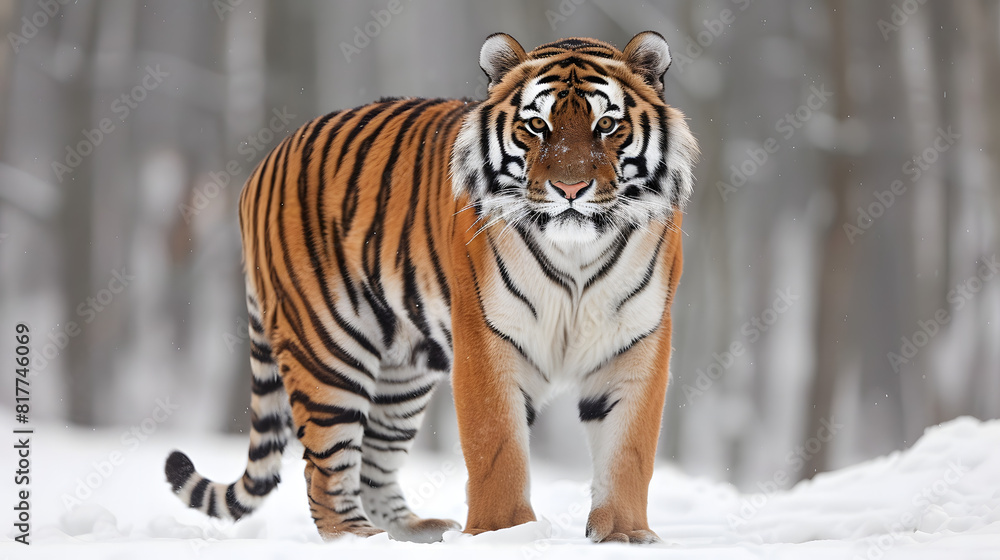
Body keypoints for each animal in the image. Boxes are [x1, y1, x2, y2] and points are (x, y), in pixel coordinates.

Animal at [164, 31, 697, 544]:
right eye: (536, 126)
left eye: (606, 125)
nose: (569, 189)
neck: (576, 254)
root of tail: (267, 160)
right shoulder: (486, 337)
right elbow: (496, 446)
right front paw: (505, 535)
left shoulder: (638, 340)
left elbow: (629, 449)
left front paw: (624, 535)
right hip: (328, 352)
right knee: (325, 470)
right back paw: (358, 539)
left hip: (403, 370)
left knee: (373, 465)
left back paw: (415, 533)